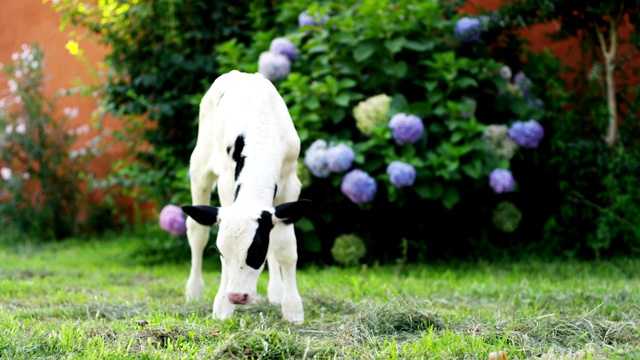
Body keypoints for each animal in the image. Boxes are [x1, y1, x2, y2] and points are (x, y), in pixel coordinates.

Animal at [181, 69, 312, 324]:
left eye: (257, 251)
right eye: (221, 252)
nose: (236, 297)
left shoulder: (291, 183)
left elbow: (284, 248)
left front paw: (292, 309)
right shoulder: (226, 183)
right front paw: (222, 307)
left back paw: (276, 292)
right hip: (200, 165)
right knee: (197, 231)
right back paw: (194, 289)